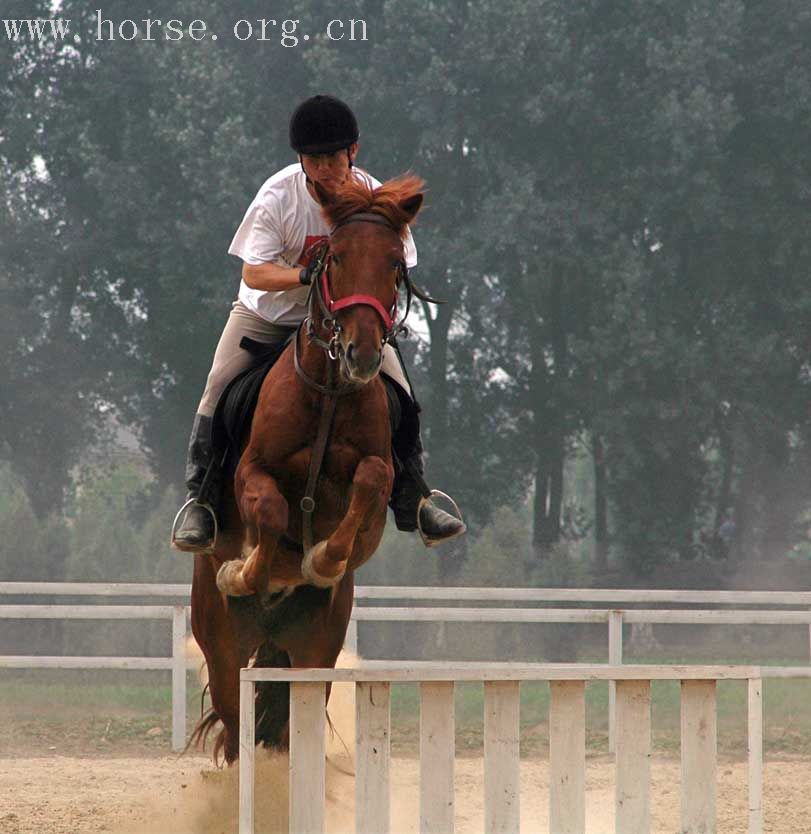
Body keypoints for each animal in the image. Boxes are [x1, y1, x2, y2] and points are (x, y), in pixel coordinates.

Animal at [189, 171, 426, 760]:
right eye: (334, 257)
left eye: (395, 262)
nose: (362, 354)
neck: (331, 390)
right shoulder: (252, 472)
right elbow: (271, 513)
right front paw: (243, 571)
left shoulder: (375, 477)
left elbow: (371, 482)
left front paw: (320, 560)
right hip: (223, 648)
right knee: (235, 727)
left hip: (315, 650)